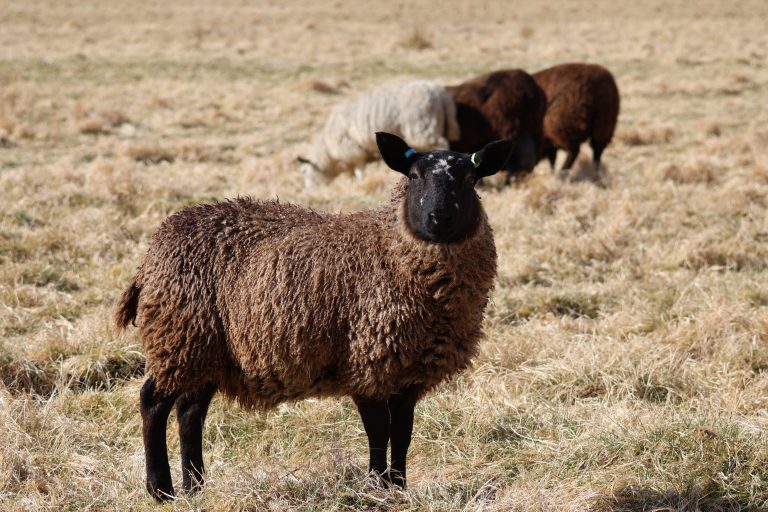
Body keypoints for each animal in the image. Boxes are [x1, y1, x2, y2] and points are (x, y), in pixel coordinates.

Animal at [115, 131, 510, 500]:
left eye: (470, 179)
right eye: (413, 176)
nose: (439, 219)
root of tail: (151, 255)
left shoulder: (407, 373)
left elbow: (402, 434)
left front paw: (398, 488)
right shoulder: (365, 363)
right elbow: (378, 432)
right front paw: (377, 487)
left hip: (206, 350)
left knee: (189, 412)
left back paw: (195, 487)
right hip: (178, 336)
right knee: (152, 402)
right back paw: (160, 489)